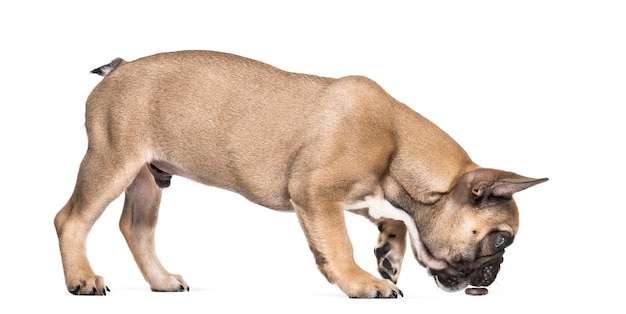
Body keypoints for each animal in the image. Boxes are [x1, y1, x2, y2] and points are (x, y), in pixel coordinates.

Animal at [54, 50, 544, 298]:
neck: (398, 144)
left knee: (135, 227)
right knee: (71, 220)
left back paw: (161, 281)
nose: (494, 274)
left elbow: (395, 223)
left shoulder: (365, 197)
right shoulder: (316, 193)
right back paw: (83, 279)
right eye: (501, 241)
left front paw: (388, 254)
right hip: (112, 160)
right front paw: (362, 283)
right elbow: (338, 244)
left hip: (147, 177)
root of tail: (118, 69)